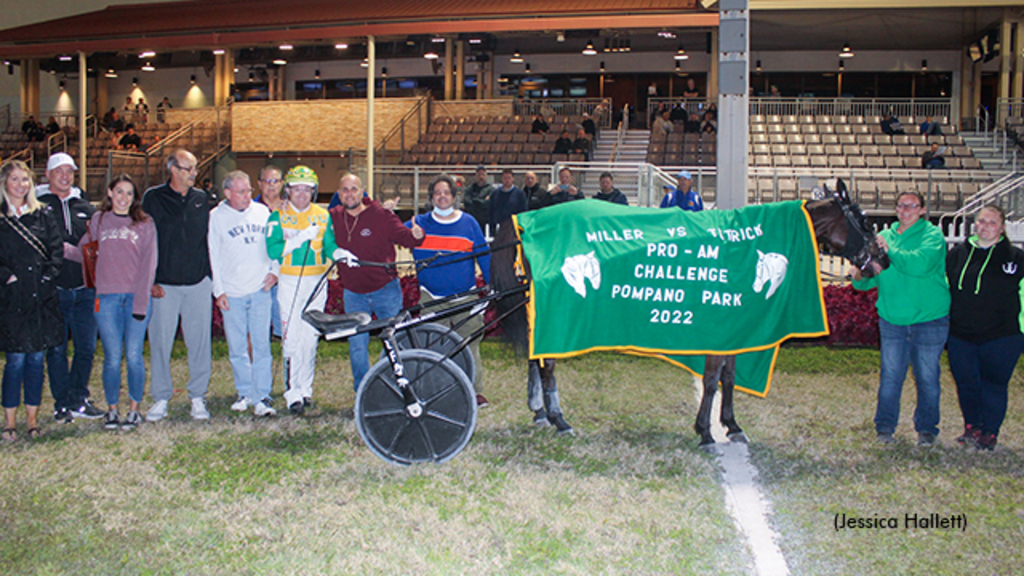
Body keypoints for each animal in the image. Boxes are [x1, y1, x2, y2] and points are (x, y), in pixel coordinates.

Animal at [491, 179, 884, 444]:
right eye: (865, 222)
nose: (883, 258)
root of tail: (528, 217)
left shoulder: (735, 328)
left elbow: (728, 377)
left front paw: (731, 425)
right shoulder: (716, 329)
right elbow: (711, 379)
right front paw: (706, 431)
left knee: (537, 358)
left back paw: (541, 412)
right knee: (547, 364)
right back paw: (559, 418)